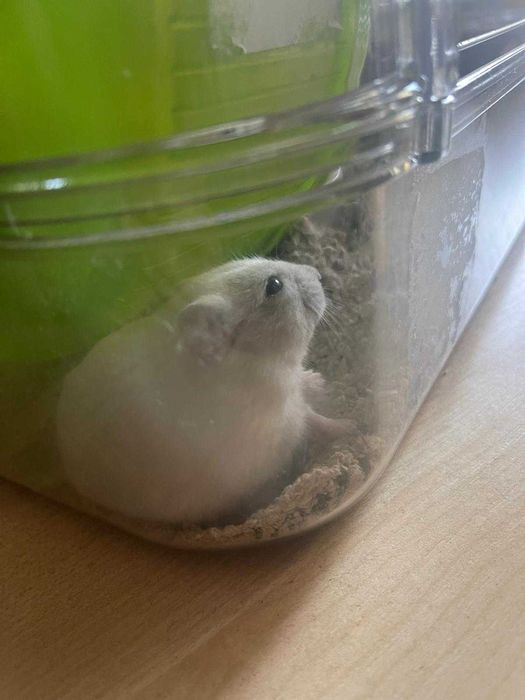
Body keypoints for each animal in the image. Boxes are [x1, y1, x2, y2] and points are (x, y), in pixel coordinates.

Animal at [57, 257, 347, 525]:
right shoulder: (287, 419)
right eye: (274, 286)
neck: (257, 358)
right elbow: (315, 419)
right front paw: (348, 427)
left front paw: (321, 383)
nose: (318, 273)